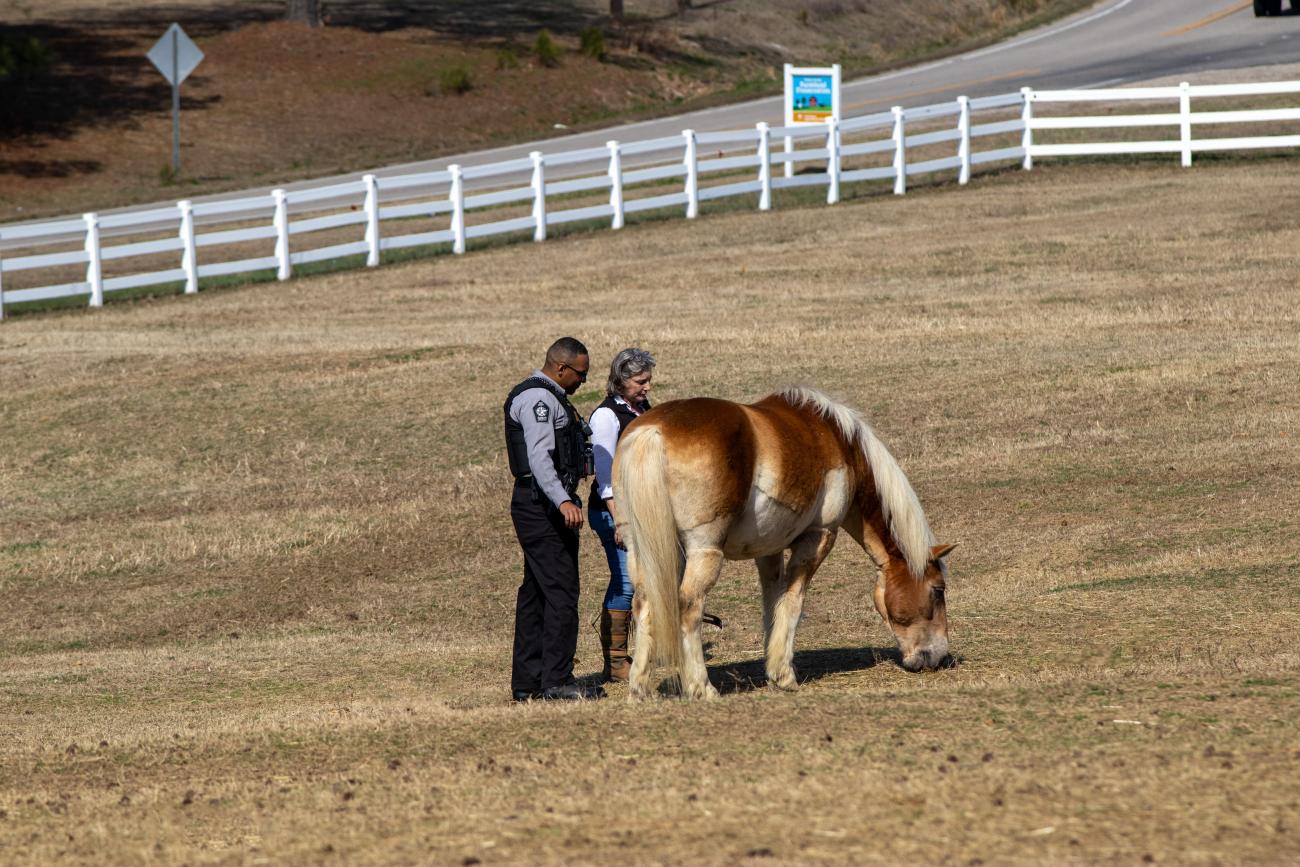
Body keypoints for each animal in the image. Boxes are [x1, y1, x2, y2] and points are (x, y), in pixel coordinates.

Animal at [611, 386, 955, 700]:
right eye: (938, 590)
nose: (939, 656)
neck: (836, 440)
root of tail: (653, 431)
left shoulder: (769, 551)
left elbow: (772, 604)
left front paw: (772, 669)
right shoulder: (818, 538)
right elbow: (792, 602)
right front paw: (784, 675)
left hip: (640, 552)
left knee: (643, 605)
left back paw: (639, 689)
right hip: (704, 553)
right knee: (689, 607)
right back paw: (701, 688)